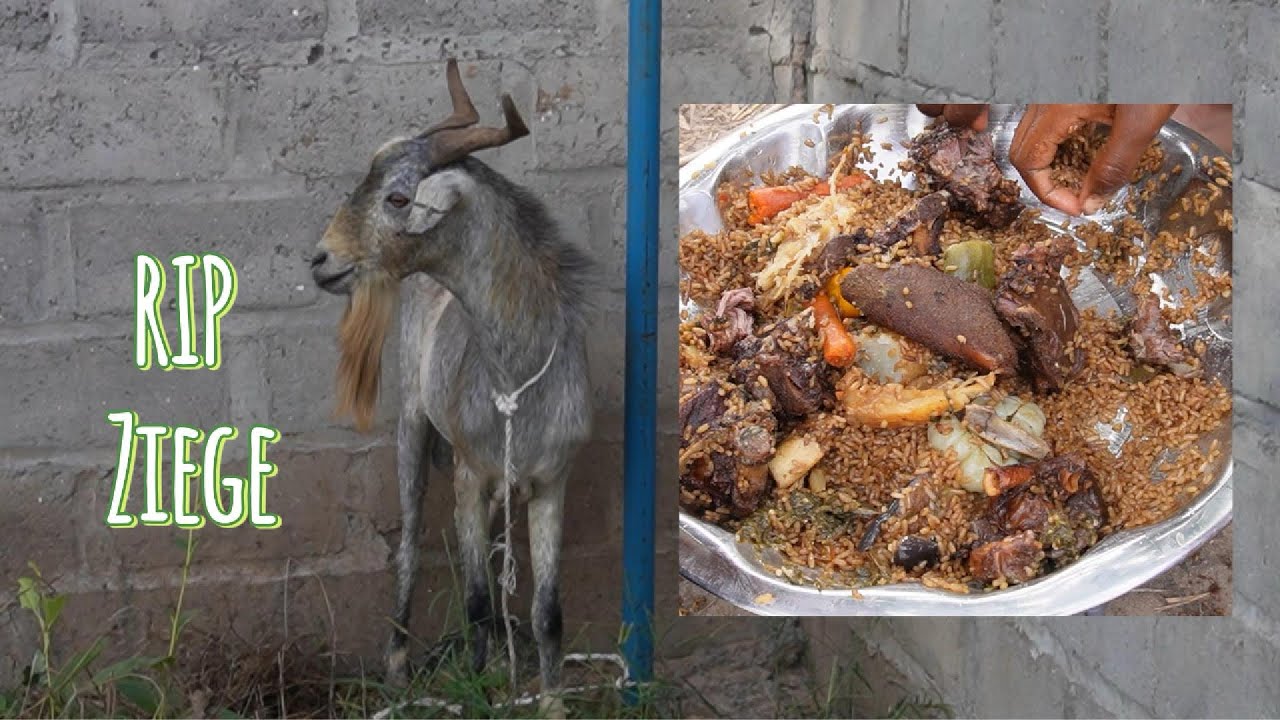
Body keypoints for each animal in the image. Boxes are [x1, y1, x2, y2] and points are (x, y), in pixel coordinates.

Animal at [309, 59, 594, 702]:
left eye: (397, 197)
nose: (321, 260)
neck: (516, 380)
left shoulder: (553, 479)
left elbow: (548, 612)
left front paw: (551, 701)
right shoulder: (468, 473)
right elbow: (477, 601)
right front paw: (481, 685)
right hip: (415, 424)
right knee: (412, 542)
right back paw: (397, 663)